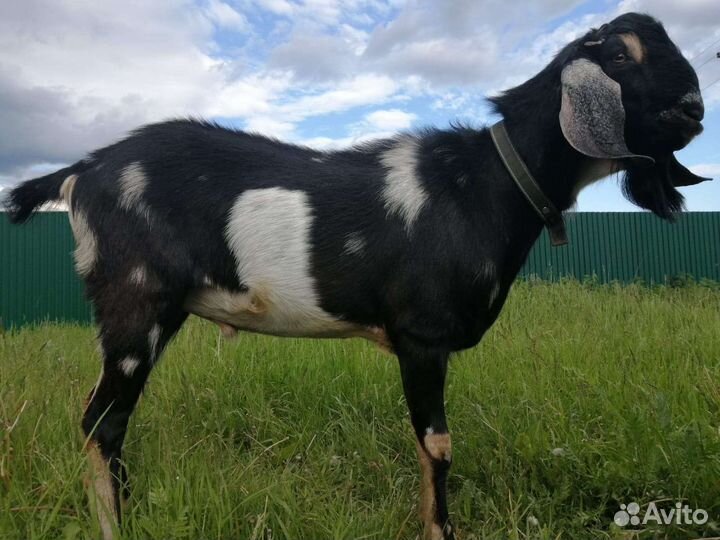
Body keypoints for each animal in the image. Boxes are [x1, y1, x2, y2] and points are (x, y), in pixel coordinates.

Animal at [3, 12, 710, 540]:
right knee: (102, 422)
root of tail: (82, 170)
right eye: (619, 54)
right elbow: (438, 446)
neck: (484, 183)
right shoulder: (420, 335)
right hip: (135, 299)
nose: (696, 109)